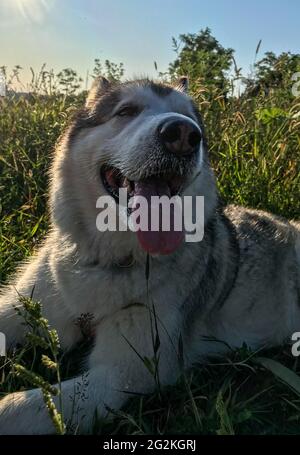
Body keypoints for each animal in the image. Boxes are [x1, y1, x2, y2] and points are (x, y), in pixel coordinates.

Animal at [0, 77, 300, 434]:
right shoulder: (22, 305)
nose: (183, 135)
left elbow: (17, 408)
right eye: (126, 111)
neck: (106, 261)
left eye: (191, 121)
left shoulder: (124, 373)